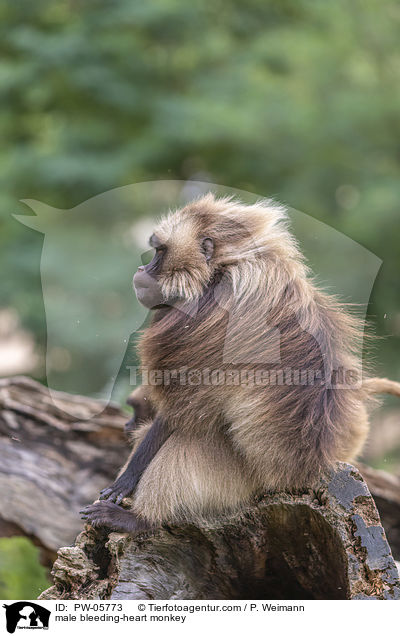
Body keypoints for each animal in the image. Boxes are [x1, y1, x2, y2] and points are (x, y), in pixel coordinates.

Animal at [80, 194, 400, 536]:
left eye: (159, 252)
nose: (141, 269)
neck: (223, 270)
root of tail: (304, 470)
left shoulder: (211, 317)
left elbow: (181, 411)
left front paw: (126, 482)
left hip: (247, 478)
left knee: (189, 435)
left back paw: (141, 520)